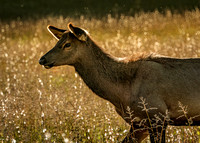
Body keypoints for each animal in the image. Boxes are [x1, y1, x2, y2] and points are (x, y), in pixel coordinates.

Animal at [38, 22, 200, 142]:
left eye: (67, 44)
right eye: (57, 42)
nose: (42, 59)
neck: (121, 94)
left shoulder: (157, 115)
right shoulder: (138, 123)